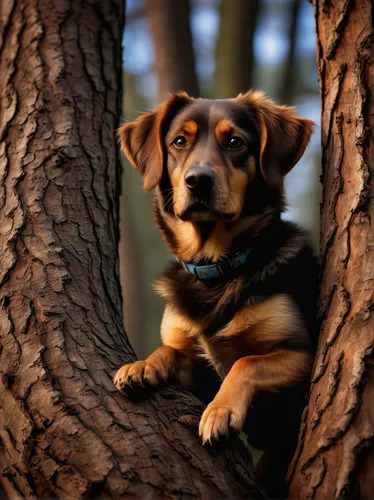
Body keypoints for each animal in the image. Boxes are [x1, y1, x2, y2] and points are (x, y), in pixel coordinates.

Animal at [114, 91, 318, 496]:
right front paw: (143, 366)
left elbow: (246, 362)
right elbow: (171, 350)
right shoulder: (195, 363)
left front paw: (219, 411)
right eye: (179, 141)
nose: (198, 181)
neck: (216, 268)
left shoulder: (302, 355)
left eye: (235, 142)